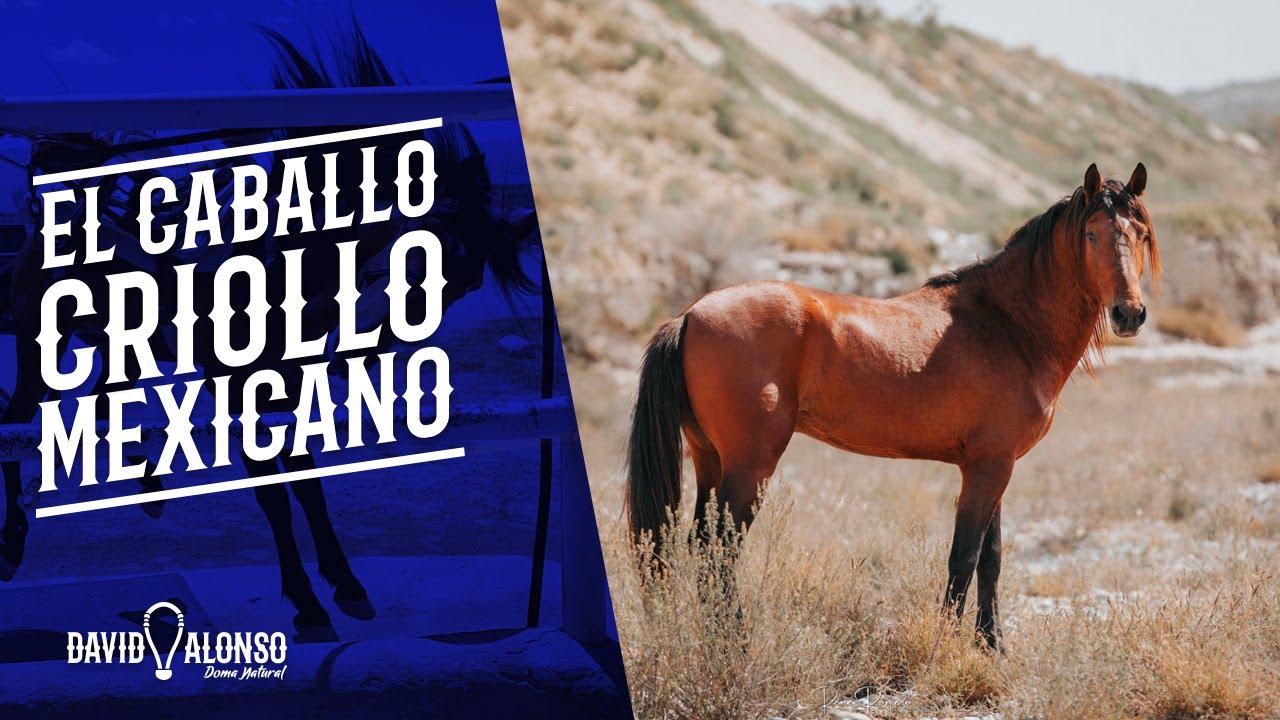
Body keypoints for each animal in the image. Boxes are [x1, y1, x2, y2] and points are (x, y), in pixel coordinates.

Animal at [0, 23, 533, 639]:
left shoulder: (288, 385)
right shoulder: (238, 388)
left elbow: (306, 481)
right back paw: (13, 541)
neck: (277, 259)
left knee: (105, 401)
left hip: (121, 342)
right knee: (18, 421)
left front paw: (345, 584)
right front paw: (308, 603)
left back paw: (147, 481)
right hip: (41, 341)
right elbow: (273, 493)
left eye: (466, 285)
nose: (369, 349)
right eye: (420, 257)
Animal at [626, 163, 1159, 650]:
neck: (1007, 325)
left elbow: (991, 557)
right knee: (721, 549)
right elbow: (964, 556)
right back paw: (735, 645)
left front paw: (993, 645)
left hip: (710, 460)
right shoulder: (988, 468)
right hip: (750, 466)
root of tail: (690, 315)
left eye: (1141, 233)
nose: (1129, 314)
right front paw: (947, 645)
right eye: (1091, 233)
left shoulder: (996, 465)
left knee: (700, 544)